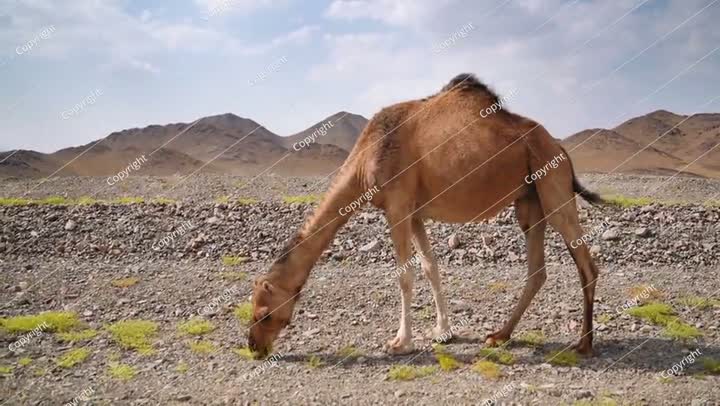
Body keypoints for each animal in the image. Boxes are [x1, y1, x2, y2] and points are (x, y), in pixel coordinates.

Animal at [248, 73, 603, 358]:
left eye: (264, 313)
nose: (253, 346)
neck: (367, 158)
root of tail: (560, 147)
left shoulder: (398, 206)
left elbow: (405, 275)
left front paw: (399, 342)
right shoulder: (415, 212)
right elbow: (431, 268)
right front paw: (443, 332)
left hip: (552, 182)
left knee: (586, 263)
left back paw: (584, 344)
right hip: (529, 200)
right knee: (537, 270)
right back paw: (500, 335)